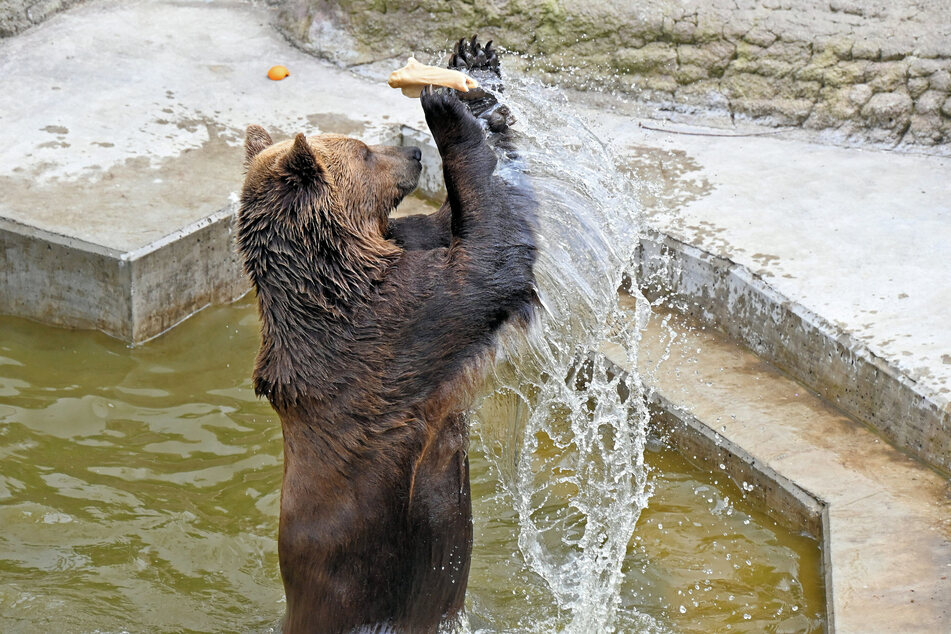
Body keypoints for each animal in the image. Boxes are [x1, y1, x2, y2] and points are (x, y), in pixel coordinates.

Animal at [234, 38, 536, 632]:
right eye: (365, 152)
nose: (414, 154)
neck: (340, 270)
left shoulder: (405, 250)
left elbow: (454, 223)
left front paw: (480, 75)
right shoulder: (397, 319)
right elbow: (489, 259)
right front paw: (445, 109)